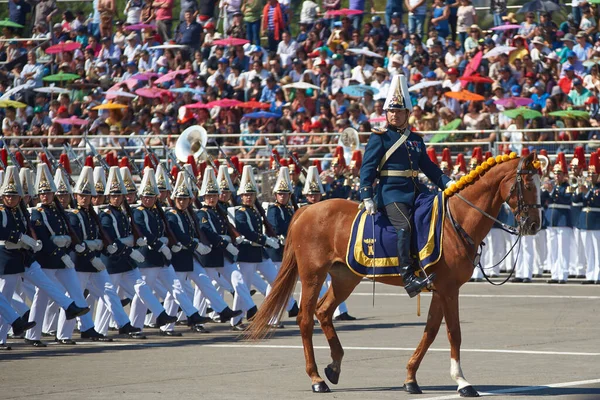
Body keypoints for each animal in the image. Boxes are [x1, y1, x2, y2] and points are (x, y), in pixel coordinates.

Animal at [248, 152, 544, 396]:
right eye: (529, 186)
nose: (534, 225)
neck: (457, 220)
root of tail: (307, 208)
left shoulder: (441, 288)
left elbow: (431, 330)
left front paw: (411, 378)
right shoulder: (449, 289)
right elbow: (454, 332)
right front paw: (462, 381)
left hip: (345, 277)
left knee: (323, 311)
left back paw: (334, 365)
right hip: (313, 275)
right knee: (305, 319)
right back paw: (316, 378)